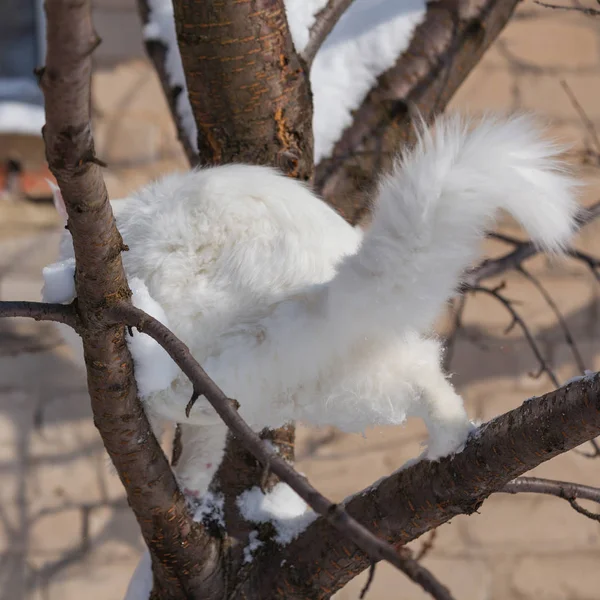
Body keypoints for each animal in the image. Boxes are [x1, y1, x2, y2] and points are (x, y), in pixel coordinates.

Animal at [43, 113, 580, 496]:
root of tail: (326, 283)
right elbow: (203, 446)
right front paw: (192, 482)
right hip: (345, 382)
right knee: (424, 376)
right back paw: (448, 440)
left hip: (222, 335)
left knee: (188, 389)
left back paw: (152, 388)